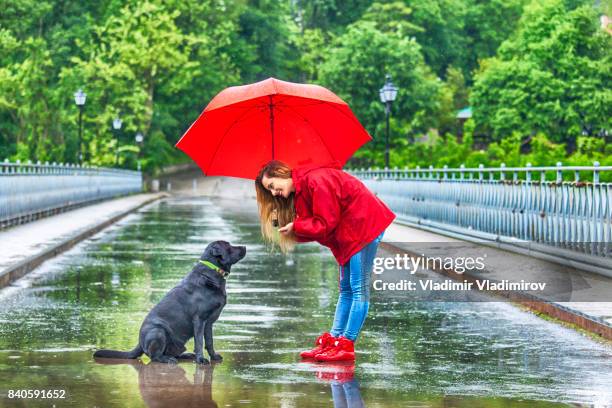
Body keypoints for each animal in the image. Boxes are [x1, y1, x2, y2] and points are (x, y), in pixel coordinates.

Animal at [94, 239, 246, 364]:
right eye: (229, 246)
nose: (245, 246)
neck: (212, 272)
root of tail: (139, 343)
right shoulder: (199, 320)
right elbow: (199, 342)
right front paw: (201, 360)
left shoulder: (209, 323)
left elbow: (209, 342)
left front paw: (213, 357)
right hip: (158, 331)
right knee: (155, 356)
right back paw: (167, 359)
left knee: (174, 353)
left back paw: (186, 356)